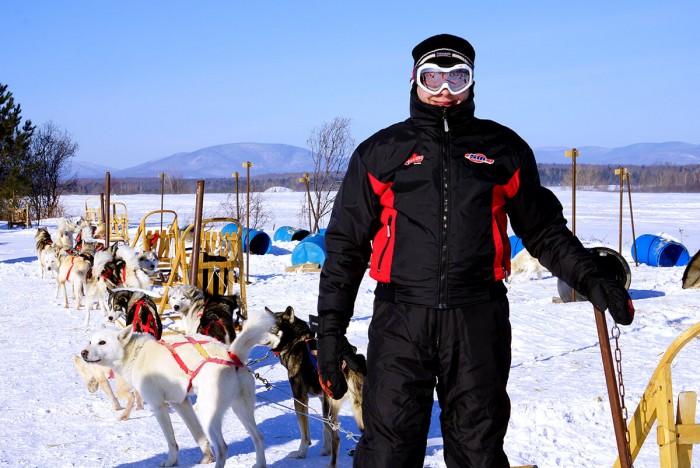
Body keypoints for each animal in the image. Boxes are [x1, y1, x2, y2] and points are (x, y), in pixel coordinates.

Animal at [82, 308, 278, 468]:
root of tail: (231, 355)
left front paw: (171, 461)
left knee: (223, 447)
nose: (83, 352)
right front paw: (206, 457)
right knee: (258, 437)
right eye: (90, 341)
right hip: (241, 409)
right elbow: (198, 435)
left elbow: (171, 441)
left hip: (208, 412)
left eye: (102, 342)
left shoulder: (159, 406)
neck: (136, 353)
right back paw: (259, 464)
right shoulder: (181, 402)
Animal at [266, 306, 366, 466]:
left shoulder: (300, 398)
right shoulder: (322, 398)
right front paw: (325, 450)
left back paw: (331, 465)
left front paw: (300, 453)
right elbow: (325, 430)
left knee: (337, 439)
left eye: (272, 327)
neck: (296, 341)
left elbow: (304, 434)